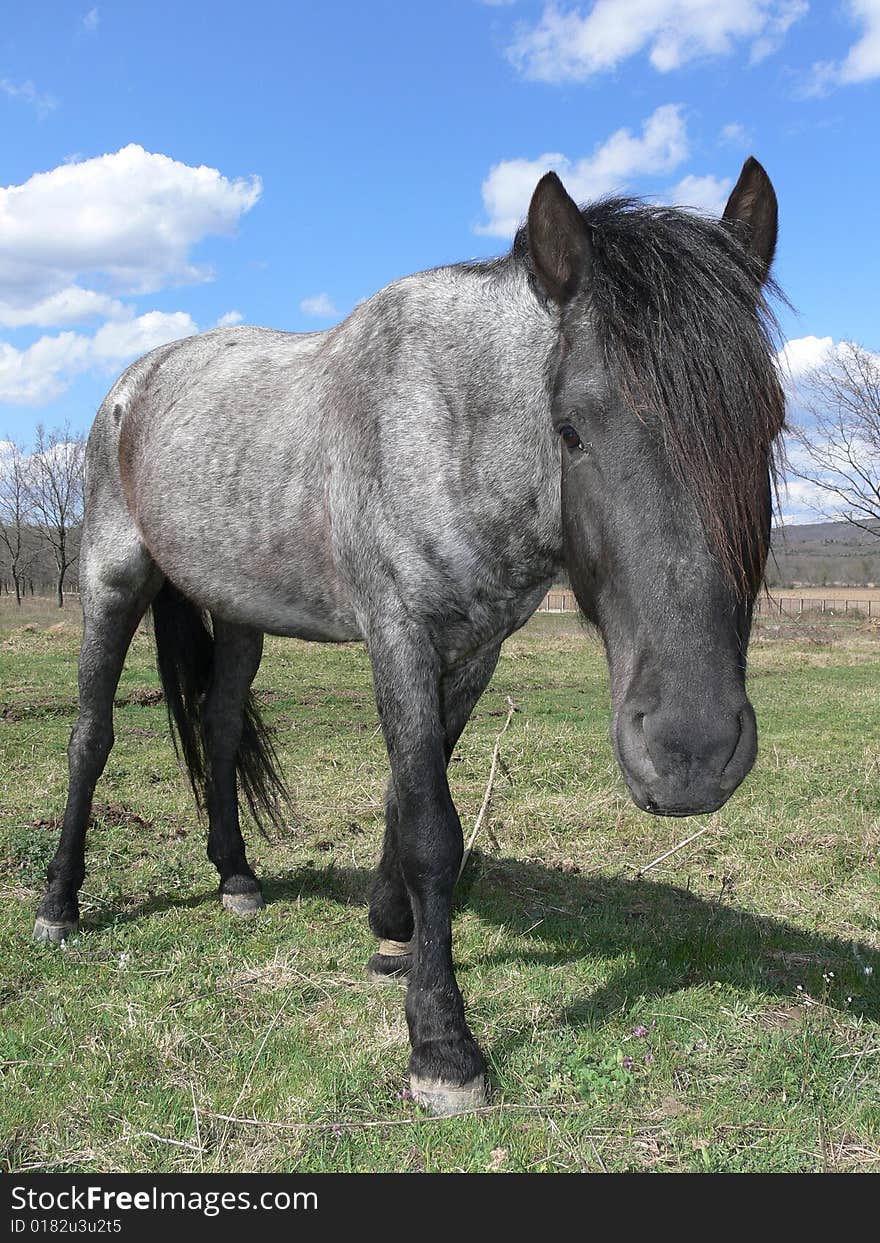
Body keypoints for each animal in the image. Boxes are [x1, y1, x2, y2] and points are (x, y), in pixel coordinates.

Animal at [32, 155, 785, 1118]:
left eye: (769, 423)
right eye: (571, 429)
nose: (690, 752)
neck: (450, 422)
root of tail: (136, 384)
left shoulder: (473, 649)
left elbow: (410, 791)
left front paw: (391, 929)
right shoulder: (398, 632)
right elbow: (430, 820)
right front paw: (441, 1043)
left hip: (240, 612)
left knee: (222, 724)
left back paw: (236, 877)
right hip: (111, 580)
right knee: (90, 736)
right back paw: (60, 903)